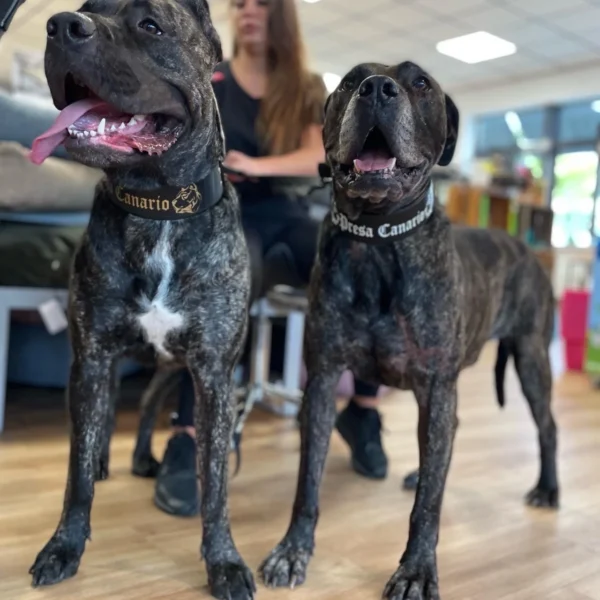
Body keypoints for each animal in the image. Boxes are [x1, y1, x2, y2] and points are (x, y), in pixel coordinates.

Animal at [27, 2, 255, 596]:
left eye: (151, 25)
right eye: (85, 10)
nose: (61, 25)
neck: (157, 209)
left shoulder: (213, 375)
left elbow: (215, 484)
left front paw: (224, 561)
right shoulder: (92, 354)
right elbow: (76, 470)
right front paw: (64, 545)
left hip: (169, 370)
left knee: (151, 407)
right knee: (103, 414)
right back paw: (107, 456)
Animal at [258, 61, 556, 600]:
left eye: (421, 84)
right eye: (348, 82)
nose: (376, 88)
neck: (379, 239)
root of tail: (524, 248)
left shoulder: (436, 386)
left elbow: (428, 506)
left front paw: (416, 570)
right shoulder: (324, 379)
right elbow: (307, 480)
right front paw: (293, 550)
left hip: (531, 360)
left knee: (546, 429)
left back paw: (547, 488)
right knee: (447, 439)